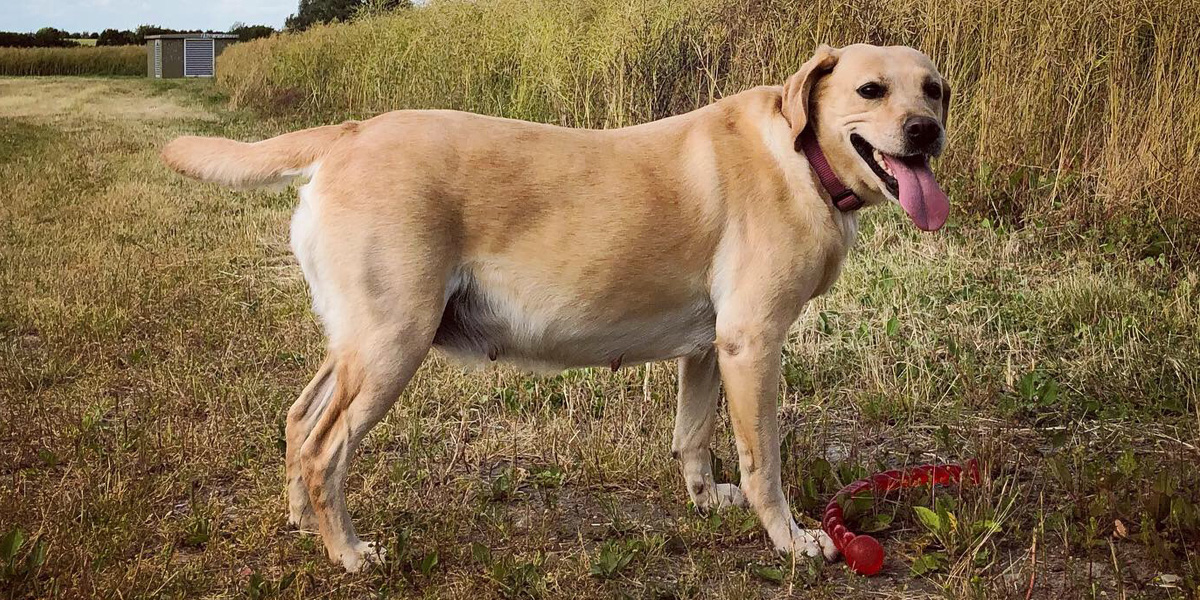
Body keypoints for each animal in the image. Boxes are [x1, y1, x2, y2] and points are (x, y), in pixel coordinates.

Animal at [162, 43, 945, 571]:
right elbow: (765, 463)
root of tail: (351, 131)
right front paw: (792, 539)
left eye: (933, 90)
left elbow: (693, 438)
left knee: (300, 423)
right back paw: (350, 553)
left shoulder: (708, 347)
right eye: (871, 88)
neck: (801, 156)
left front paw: (704, 499)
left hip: (358, 342)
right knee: (326, 446)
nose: (926, 130)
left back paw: (301, 520)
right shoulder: (753, 343)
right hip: (392, 343)